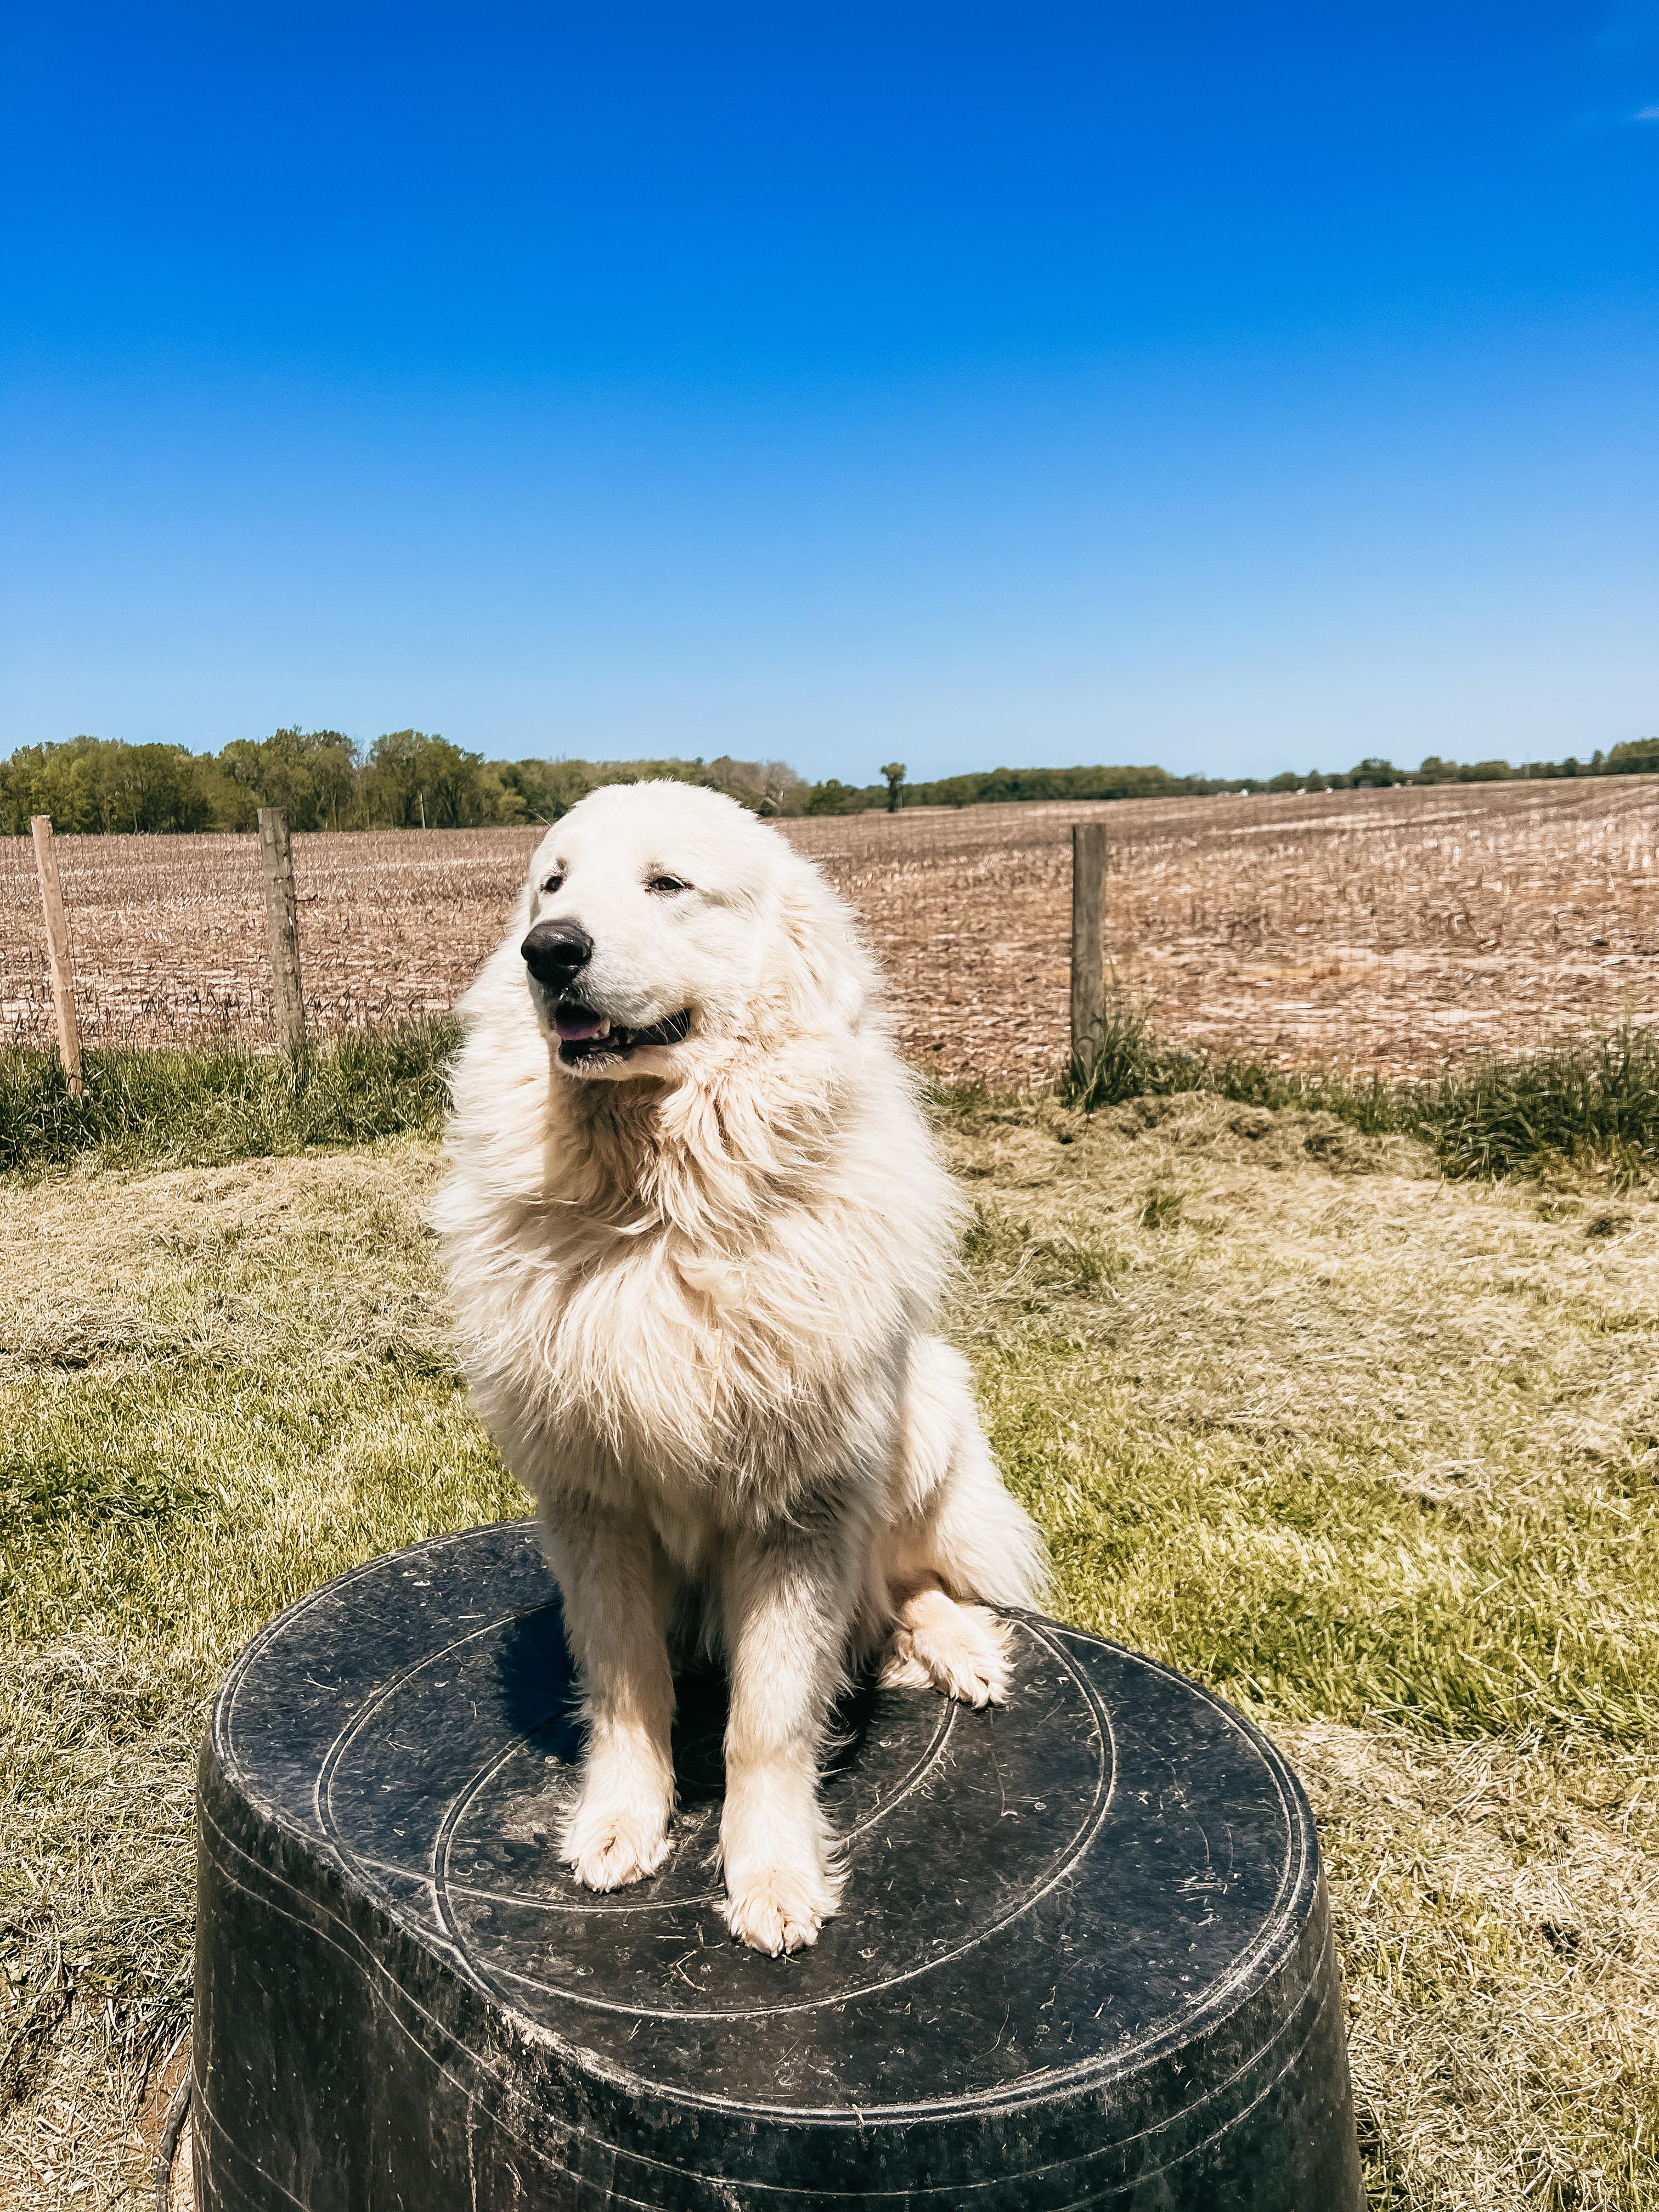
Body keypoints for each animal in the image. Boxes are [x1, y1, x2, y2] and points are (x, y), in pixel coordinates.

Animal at [433, 781, 1046, 1955]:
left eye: (667, 884)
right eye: (551, 882)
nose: (548, 950)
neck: (660, 1206)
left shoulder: (799, 1512)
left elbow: (766, 1720)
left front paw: (771, 1875)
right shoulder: (594, 1507)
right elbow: (628, 1689)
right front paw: (621, 1822)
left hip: (923, 1406)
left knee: (911, 1578)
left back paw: (959, 1649)